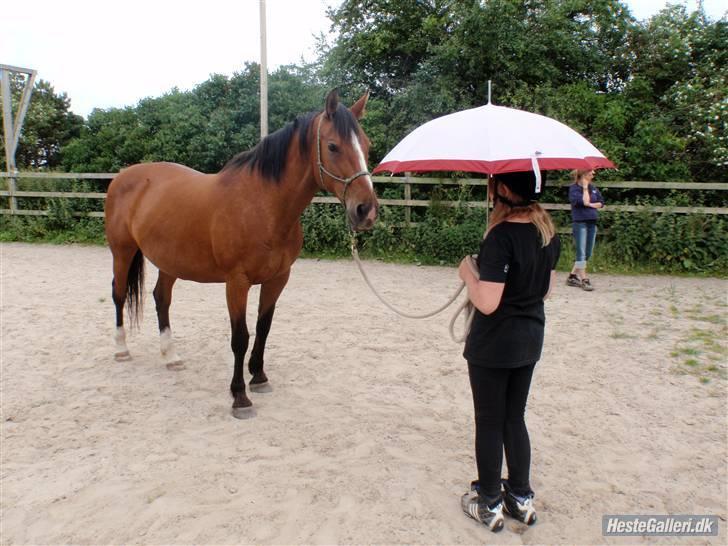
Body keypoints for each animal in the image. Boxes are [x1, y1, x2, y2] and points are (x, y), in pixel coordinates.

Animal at [105, 90, 378, 416]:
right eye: (333, 146)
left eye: (367, 145)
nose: (366, 210)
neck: (263, 205)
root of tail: (123, 176)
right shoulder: (236, 282)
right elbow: (240, 337)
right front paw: (239, 396)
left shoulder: (278, 279)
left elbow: (263, 328)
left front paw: (258, 377)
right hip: (122, 252)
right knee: (119, 294)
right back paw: (121, 349)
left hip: (170, 261)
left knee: (162, 299)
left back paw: (171, 357)